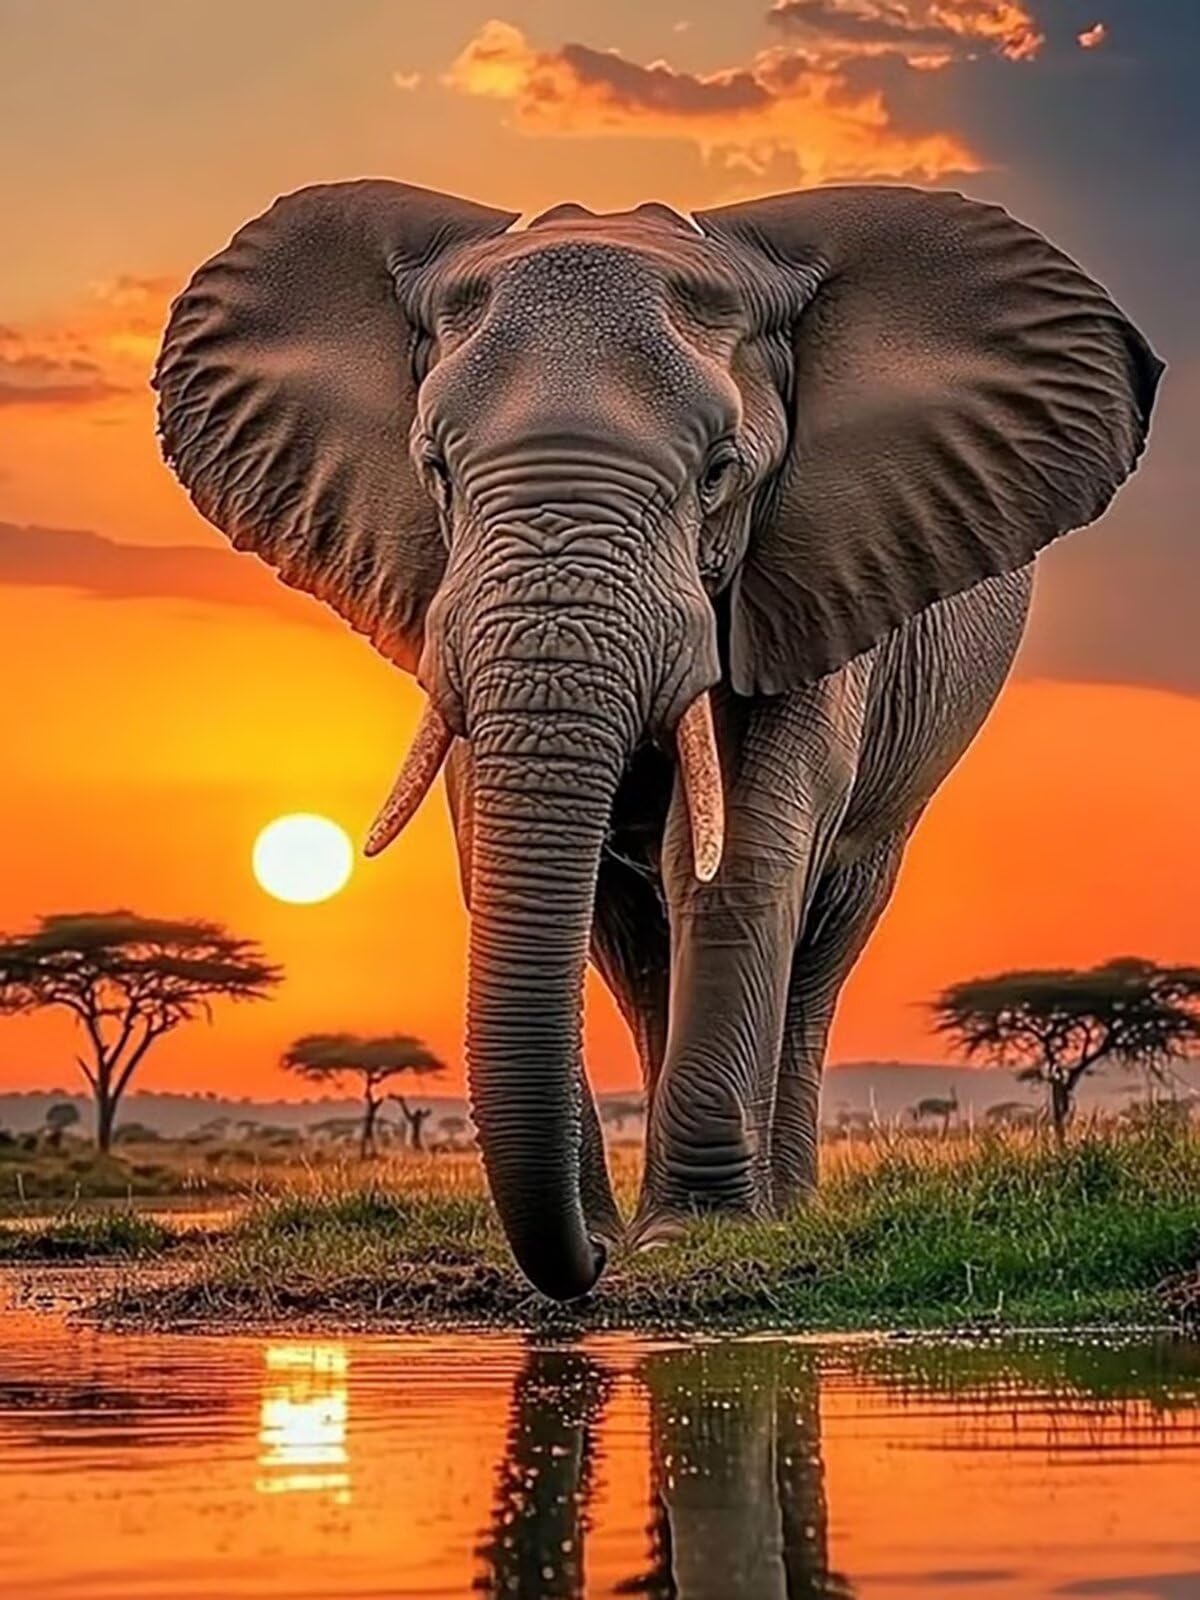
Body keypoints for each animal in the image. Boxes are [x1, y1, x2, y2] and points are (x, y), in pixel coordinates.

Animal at [154, 179, 1162, 1302]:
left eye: (720, 471)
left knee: (821, 941)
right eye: (434, 468)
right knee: (636, 949)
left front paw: (692, 1239)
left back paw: (780, 1210)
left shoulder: (808, 578)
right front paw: (634, 1235)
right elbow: (518, 858)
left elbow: (741, 856)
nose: (587, 1263)